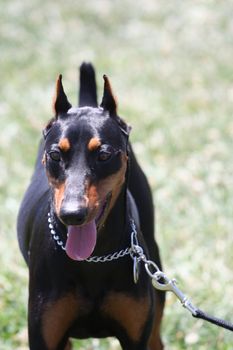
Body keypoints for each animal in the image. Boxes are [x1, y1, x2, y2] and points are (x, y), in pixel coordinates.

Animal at [17, 63, 165, 350]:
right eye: (55, 154)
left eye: (104, 154)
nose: (72, 214)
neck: (95, 258)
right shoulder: (45, 336)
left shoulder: (135, 337)